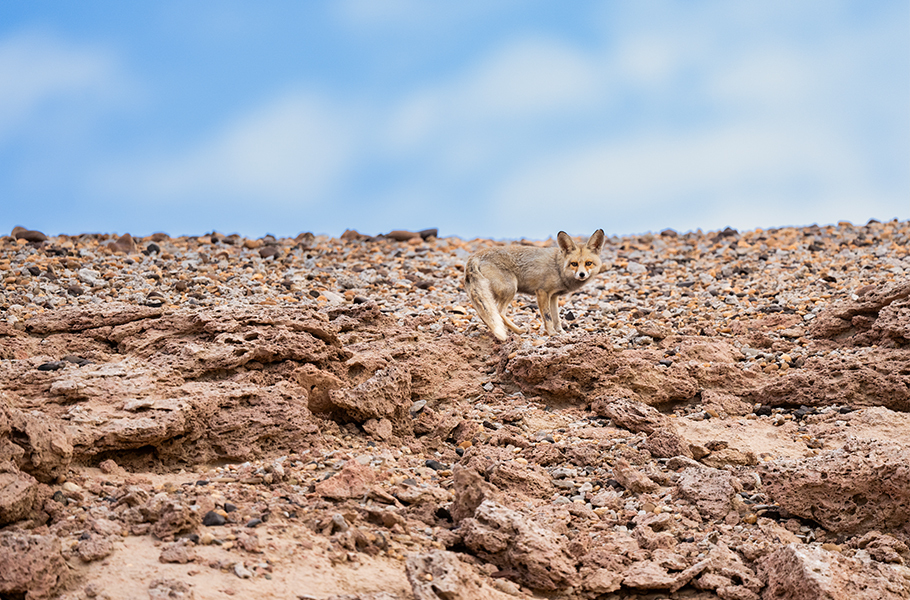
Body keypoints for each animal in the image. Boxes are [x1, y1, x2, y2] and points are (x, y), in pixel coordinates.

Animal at [463, 229, 605, 341]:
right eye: (574, 264)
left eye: (588, 263)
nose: (582, 274)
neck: (558, 268)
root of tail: (475, 255)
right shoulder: (542, 292)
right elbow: (548, 318)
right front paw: (552, 333)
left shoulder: (554, 296)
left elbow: (556, 318)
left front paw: (561, 332)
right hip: (511, 289)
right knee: (499, 312)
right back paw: (518, 331)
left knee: (485, 315)